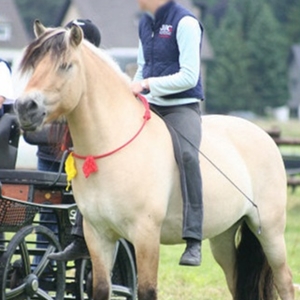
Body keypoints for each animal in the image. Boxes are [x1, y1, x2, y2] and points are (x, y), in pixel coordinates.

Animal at [14, 19, 292, 298]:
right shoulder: (99, 235)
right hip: (223, 237)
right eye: (34, 65)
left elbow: (146, 290)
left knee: (285, 282)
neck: (114, 144)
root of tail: (263, 135)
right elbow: (101, 287)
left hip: (270, 232)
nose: (25, 107)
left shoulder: (145, 236)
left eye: (65, 66)